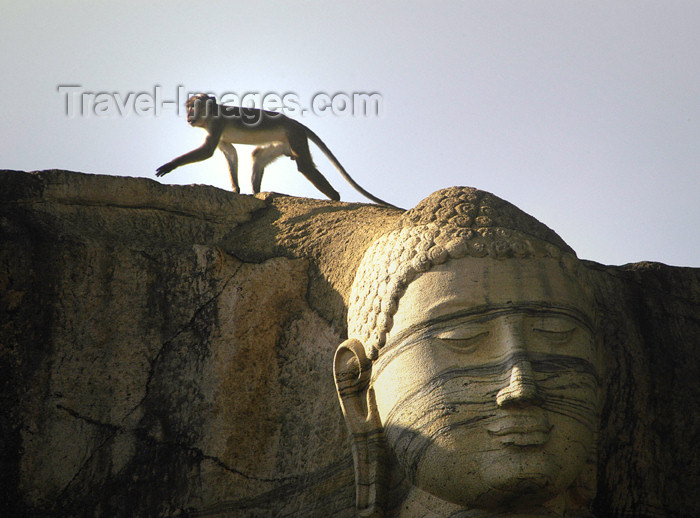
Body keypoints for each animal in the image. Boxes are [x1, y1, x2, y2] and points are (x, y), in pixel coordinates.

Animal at [157, 92, 396, 208]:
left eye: (193, 106)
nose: (188, 115)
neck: (210, 115)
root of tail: (296, 123)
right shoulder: (218, 133)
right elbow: (230, 153)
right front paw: (235, 188)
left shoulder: (217, 125)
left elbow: (207, 151)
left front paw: (170, 165)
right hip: (283, 143)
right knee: (258, 156)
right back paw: (256, 192)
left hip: (294, 136)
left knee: (305, 166)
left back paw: (335, 197)